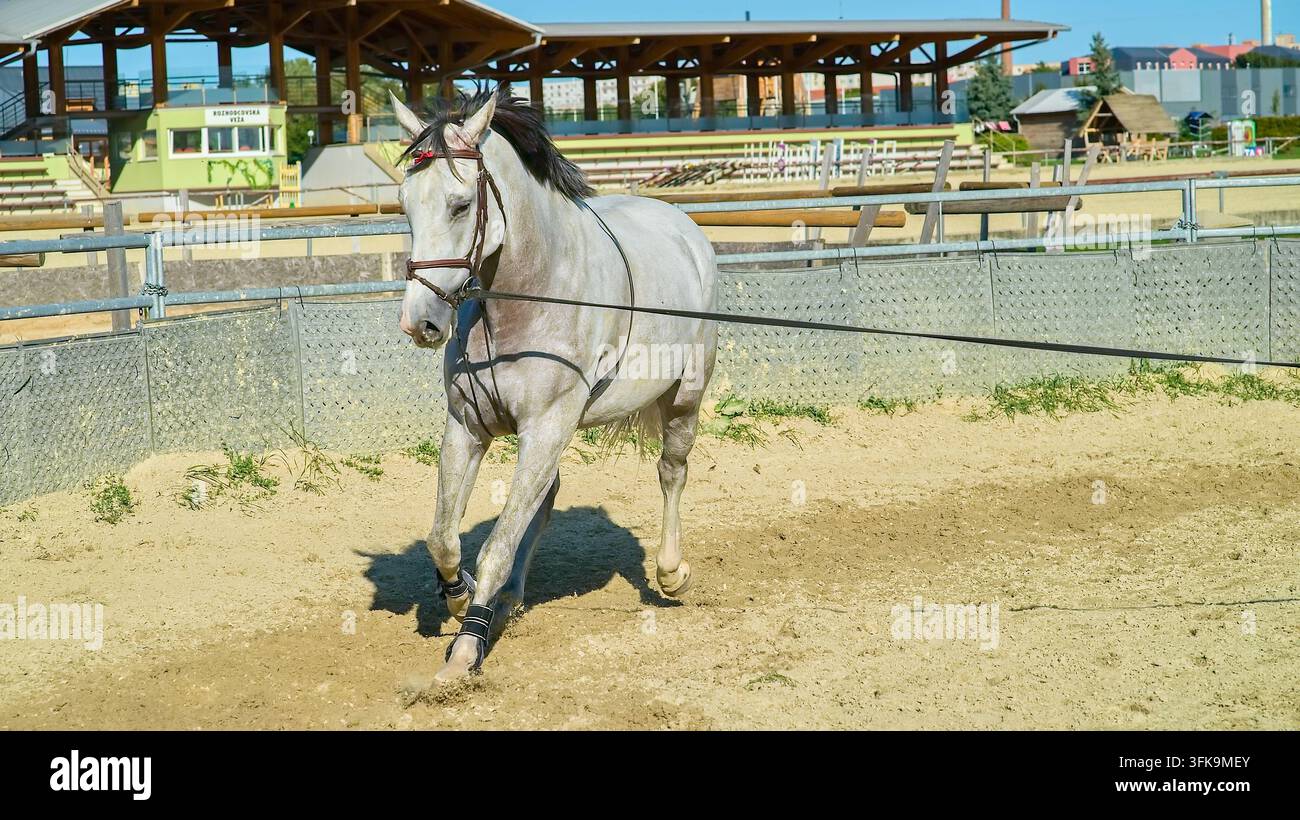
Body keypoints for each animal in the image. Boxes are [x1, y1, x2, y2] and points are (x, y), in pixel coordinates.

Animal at [390, 84, 719, 681]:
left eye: (460, 204)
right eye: (405, 205)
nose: (419, 322)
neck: (526, 298)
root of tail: (682, 227)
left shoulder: (544, 428)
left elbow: (494, 547)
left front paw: (464, 653)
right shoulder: (468, 428)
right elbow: (443, 537)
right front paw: (461, 597)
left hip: (684, 395)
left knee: (672, 471)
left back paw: (670, 573)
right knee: (544, 500)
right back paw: (509, 600)